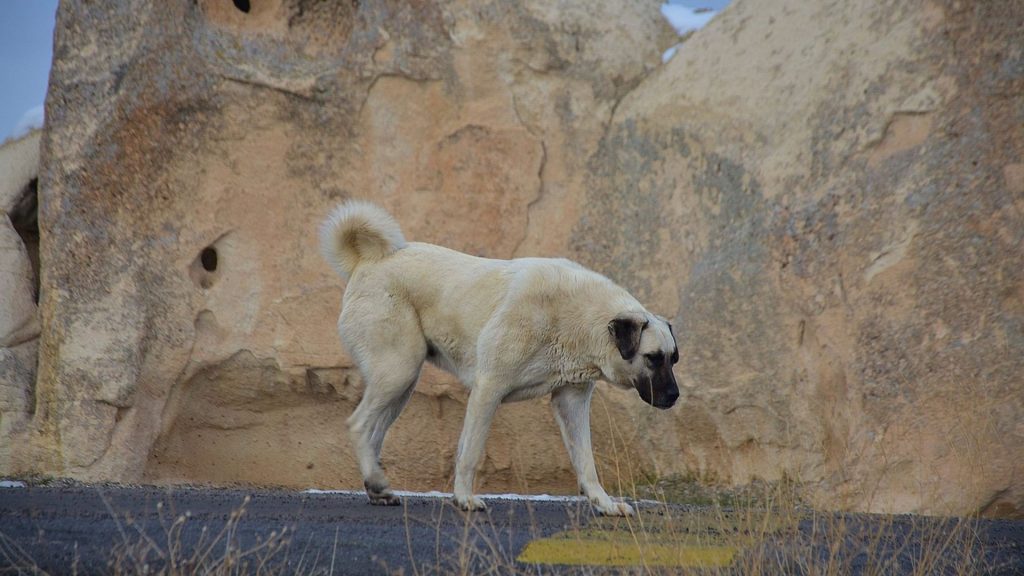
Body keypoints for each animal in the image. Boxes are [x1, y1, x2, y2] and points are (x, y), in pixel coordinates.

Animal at [315, 201, 675, 516]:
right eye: (652, 358)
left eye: (673, 359)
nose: (674, 396)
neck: (580, 316)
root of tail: (369, 262)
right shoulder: (488, 388)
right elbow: (470, 453)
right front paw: (464, 499)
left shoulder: (571, 401)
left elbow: (586, 463)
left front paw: (605, 504)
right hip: (398, 371)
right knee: (359, 425)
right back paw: (376, 481)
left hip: (401, 384)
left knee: (374, 432)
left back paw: (376, 487)